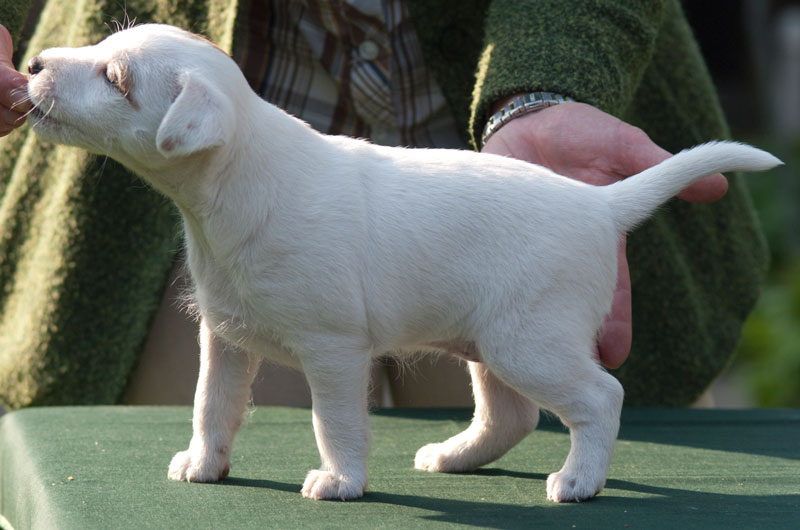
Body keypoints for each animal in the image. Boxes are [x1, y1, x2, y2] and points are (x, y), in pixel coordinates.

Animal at [28, 24, 780, 502]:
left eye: (115, 77)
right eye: (102, 49)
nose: (31, 65)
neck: (241, 181)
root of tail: (599, 205)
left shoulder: (333, 350)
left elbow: (333, 422)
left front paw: (340, 482)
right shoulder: (226, 340)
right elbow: (210, 406)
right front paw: (204, 464)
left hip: (528, 343)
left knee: (600, 399)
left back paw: (579, 481)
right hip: (489, 345)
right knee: (511, 417)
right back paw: (453, 457)